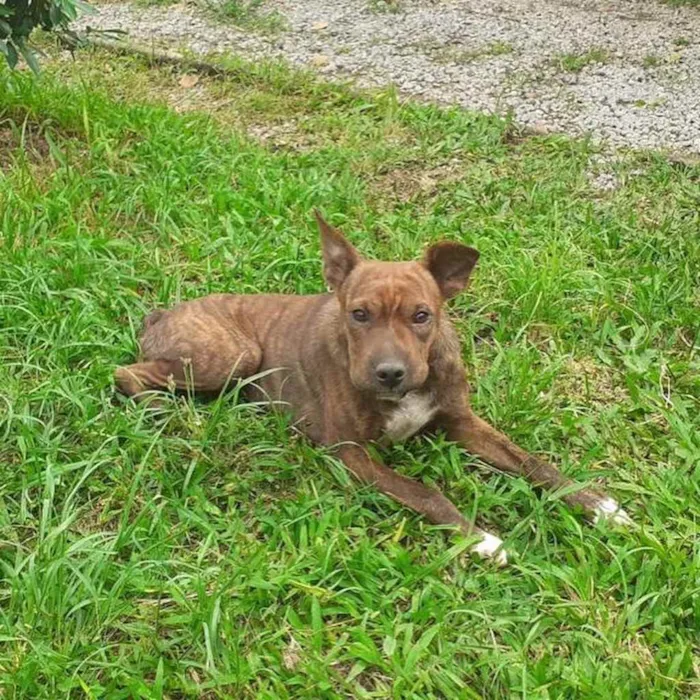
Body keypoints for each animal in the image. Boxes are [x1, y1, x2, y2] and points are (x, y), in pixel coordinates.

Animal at [113, 212, 628, 564]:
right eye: (358, 314)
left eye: (422, 315)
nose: (390, 373)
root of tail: (162, 313)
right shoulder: (350, 453)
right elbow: (425, 493)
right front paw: (479, 537)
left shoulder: (461, 422)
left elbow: (533, 463)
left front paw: (596, 503)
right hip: (235, 355)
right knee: (125, 374)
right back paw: (165, 412)